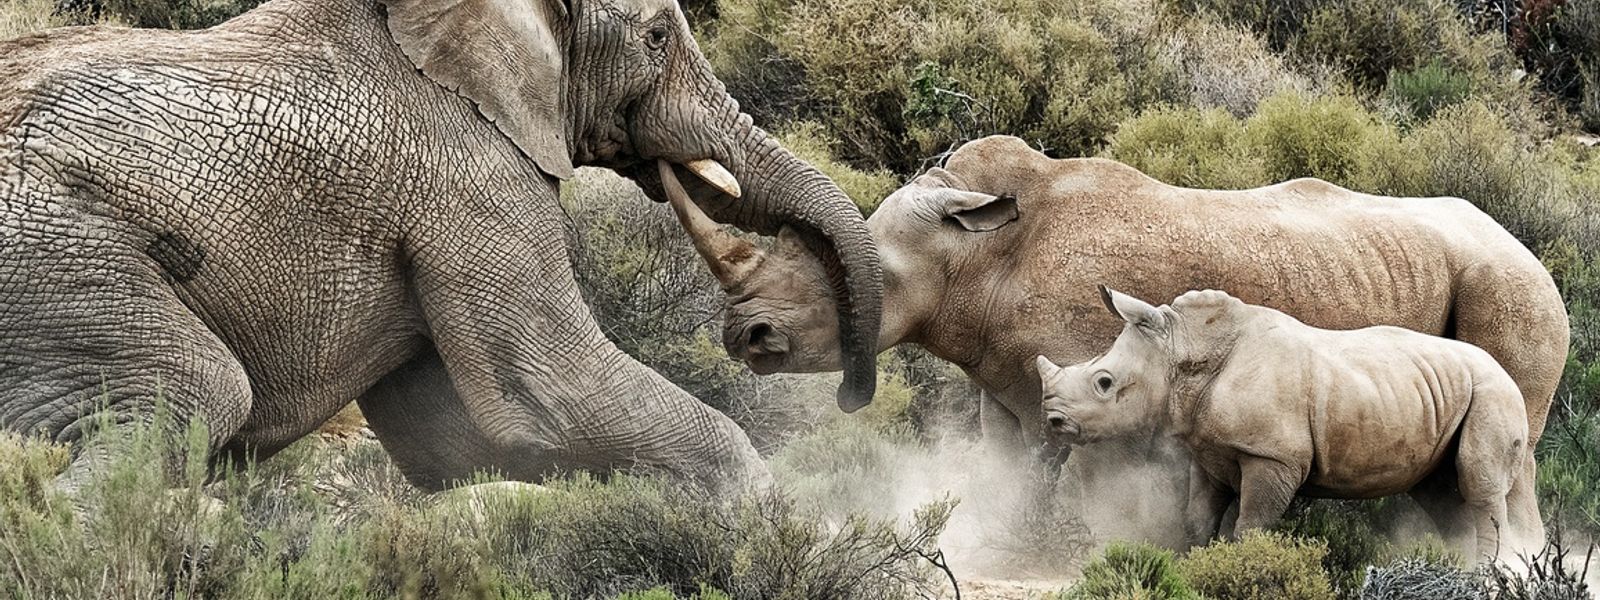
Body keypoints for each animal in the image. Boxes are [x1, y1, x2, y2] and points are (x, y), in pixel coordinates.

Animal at [0, 0, 884, 492]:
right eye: (659, 36)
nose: (850, 397)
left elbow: (457, 441)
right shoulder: (472, 178)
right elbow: (552, 398)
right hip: (50, 254)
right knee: (192, 392)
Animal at [1037, 287, 1541, 562]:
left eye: (1104, 382)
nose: (1053, 421)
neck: (1185, 350)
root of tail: (1508, 375)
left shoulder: (1273, 456)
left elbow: (1251, 524)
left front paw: (1246, 563)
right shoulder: (1208, 453)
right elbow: (1198, 518)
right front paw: (1196, 565)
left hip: (1492, 393)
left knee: (1479, 485)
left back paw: (1491, 573)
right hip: (1453, 393)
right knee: (1442, 494)